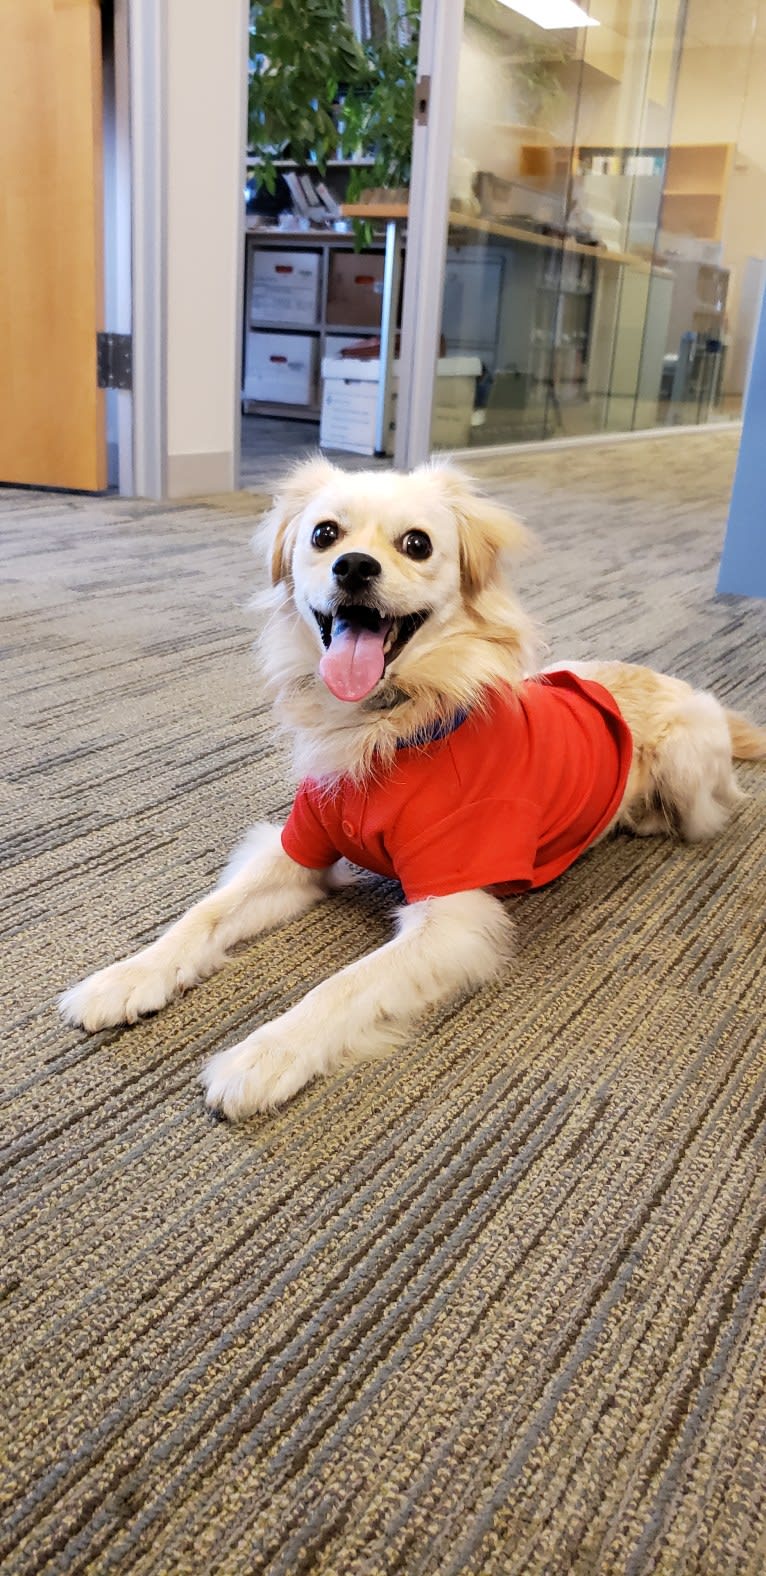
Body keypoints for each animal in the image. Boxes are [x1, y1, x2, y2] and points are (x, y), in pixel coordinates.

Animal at [61, 457, 766, 1122]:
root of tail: (682, 683)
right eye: (324, 534)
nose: (352, 566)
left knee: (710, 811)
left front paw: (263, 1055)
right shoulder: (298, 850)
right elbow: (203, 915)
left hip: (685, 766)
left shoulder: (454, 916)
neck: (385, 728)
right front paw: (127, 977)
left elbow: (342, 985)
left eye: (418, 544)